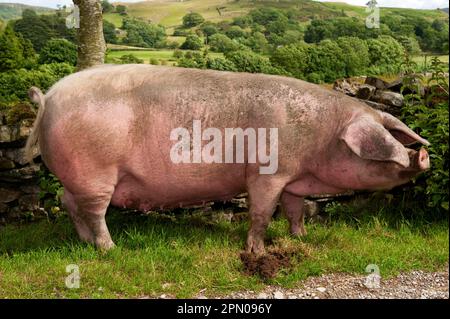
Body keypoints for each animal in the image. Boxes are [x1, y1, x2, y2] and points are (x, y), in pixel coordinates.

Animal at [25, 65, 428, 255]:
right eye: (386, 142)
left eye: (392, 131)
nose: (423, 154)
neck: (321, 135)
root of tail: (48, 97)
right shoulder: (267, 172)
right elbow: (262, 212)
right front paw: (256, 251)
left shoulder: (293, 180)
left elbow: (295, 209)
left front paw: (300, 238)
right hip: (96, 172)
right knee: (94, 211)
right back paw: (110, 249)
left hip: (77, 177)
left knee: (67, 202)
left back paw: (83, 243)